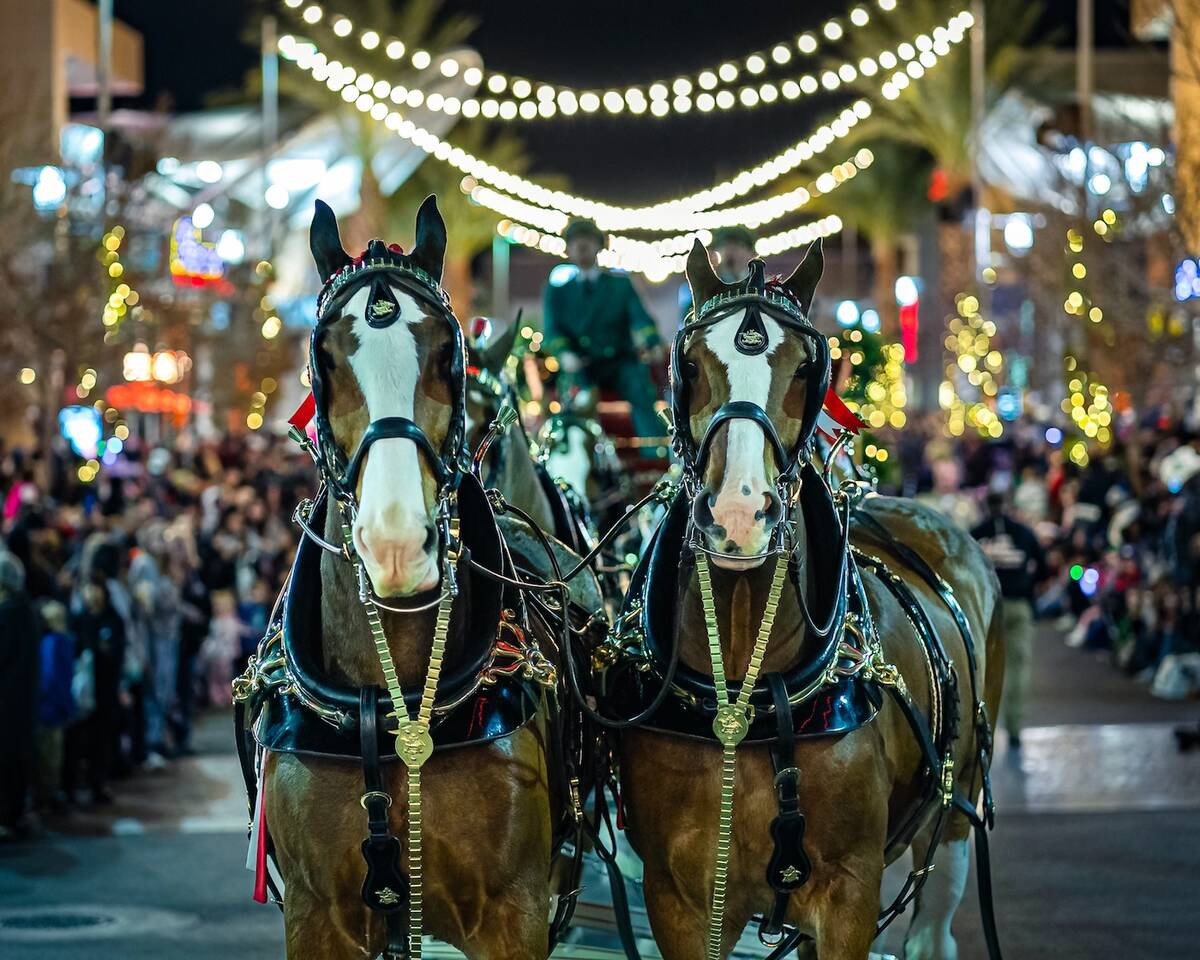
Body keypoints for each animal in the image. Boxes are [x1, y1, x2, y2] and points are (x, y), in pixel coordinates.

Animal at [258, 196, 556, 960]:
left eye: (447, 354)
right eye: (323, 359)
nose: (396, 545)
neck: (390, 709)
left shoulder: (516, 914)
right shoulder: (313, 917)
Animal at [619, 240, 1003, 960]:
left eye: (805, 367)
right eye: (690, 364)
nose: (739, 515)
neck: (750, 701)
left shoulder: (849, 896)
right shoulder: (680, 901)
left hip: (954, 818)